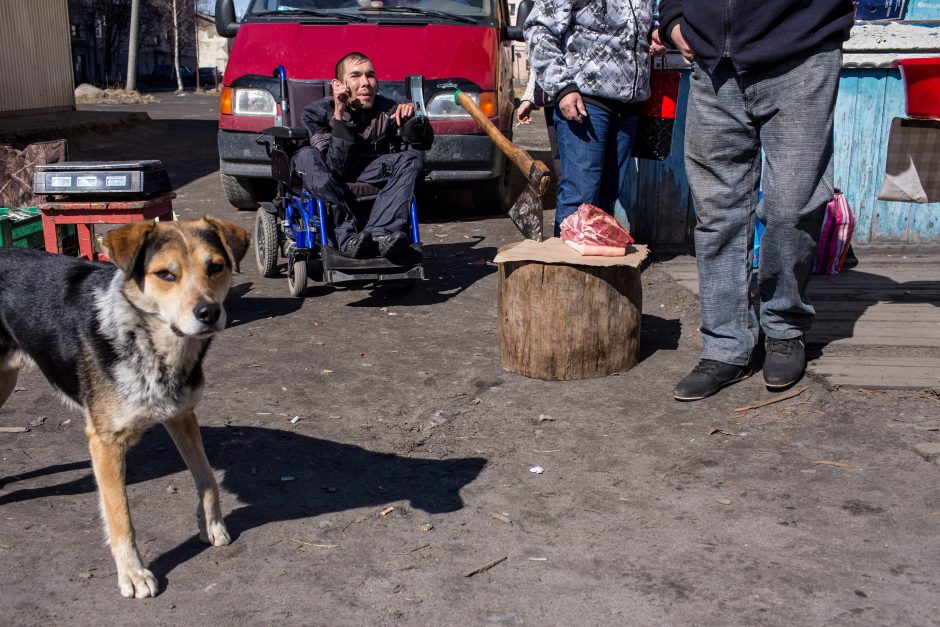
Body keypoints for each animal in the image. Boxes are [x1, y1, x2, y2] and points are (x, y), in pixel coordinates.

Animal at [0, 217, 250, 600]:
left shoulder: (182, 415)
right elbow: (121, 516)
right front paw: (133, 574)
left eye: (215, 267)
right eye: (165, 274)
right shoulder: (105, 443)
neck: (146, 340)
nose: (209, 312)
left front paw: (212, 526)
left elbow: (207, 478)